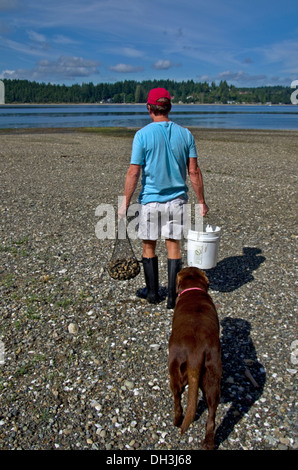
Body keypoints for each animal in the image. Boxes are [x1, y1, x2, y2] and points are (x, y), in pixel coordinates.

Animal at [168, 268, 221, 448]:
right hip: (212, 378)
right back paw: (209, 442)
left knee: (177, 402)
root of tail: (195, 353)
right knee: (211, 417)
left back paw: (177, 421)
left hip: (173, 371)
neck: (194, 290)